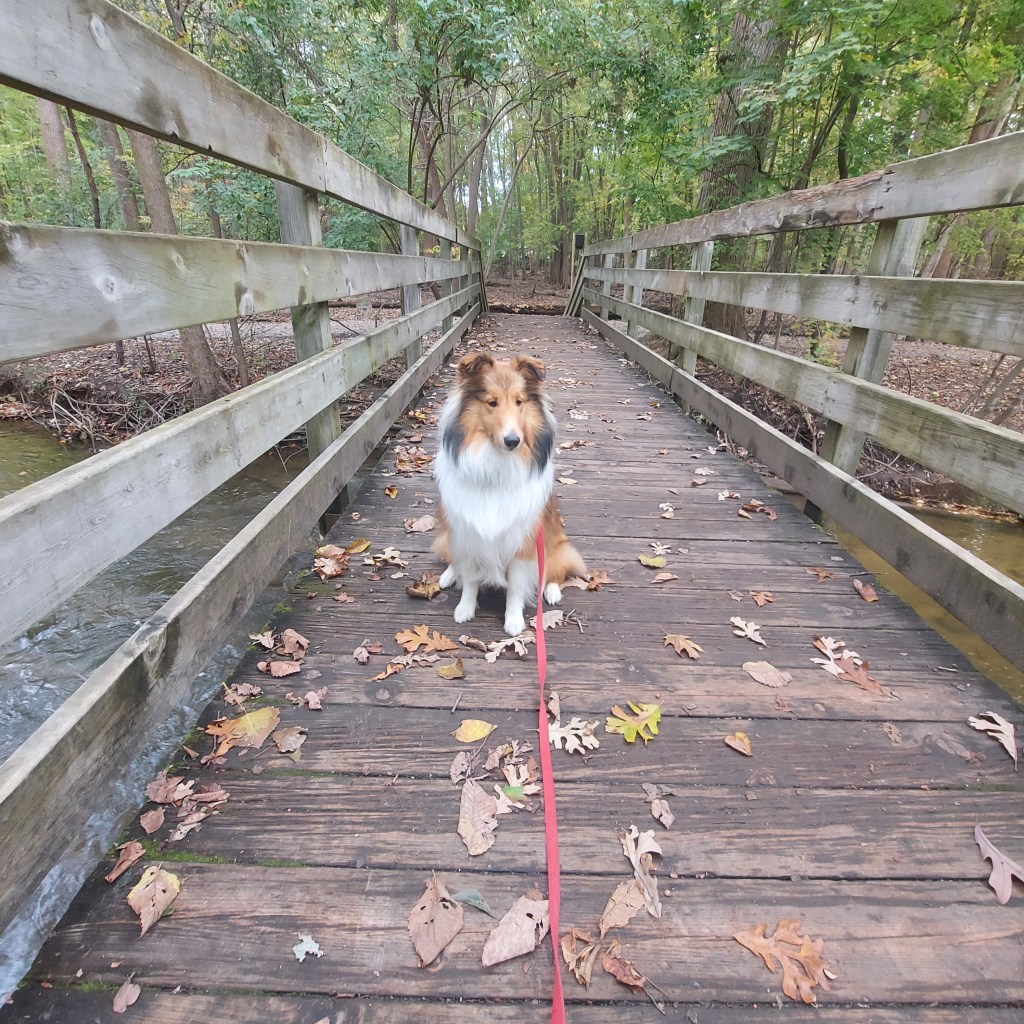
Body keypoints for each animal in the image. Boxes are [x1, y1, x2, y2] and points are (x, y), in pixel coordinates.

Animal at [432, 352, 587, 636]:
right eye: (492, 402)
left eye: (519, 402)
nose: (513, 441)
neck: (496, 469)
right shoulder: (468, 533)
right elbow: (469, 579)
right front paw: (465, 608)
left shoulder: (522, 541)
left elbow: (515, 586)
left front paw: (513, 621)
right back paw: (449, 574)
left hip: (555, 544)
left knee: (555, 571)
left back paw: (551, 591)